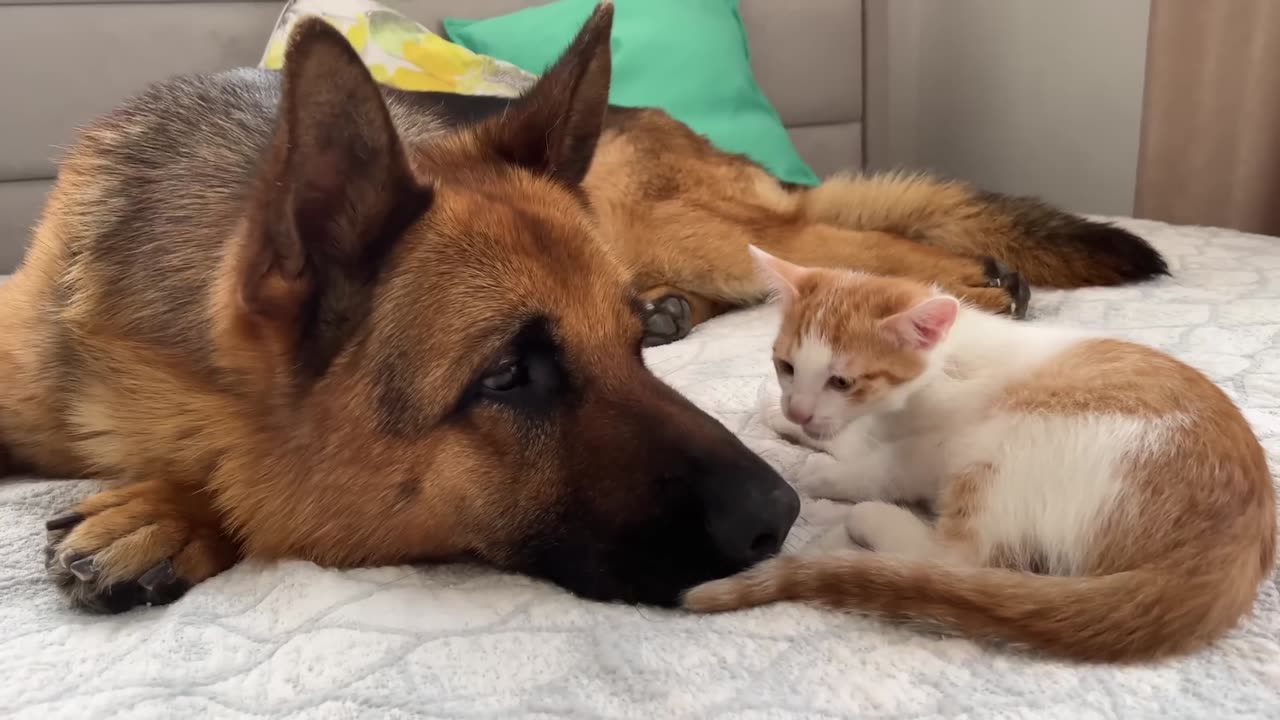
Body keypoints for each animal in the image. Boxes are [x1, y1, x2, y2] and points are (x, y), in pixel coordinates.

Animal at [0, 5, 1167, 609]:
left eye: (618, 352)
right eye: (507, 375)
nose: (783, 516)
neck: (149, 370)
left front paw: (170, 505)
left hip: (692, 224)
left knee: (844, 247)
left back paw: (975, 284)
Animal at [691, 248, 1280, 661]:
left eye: (842, 380)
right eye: (786, 366)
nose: (798, 409)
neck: (940, 367)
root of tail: (1227, 554)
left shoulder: (940, 443)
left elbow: (884, 466)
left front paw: (822, 471)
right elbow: (853, 436)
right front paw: (789, 422)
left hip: (1014, 439)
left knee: (957, 558)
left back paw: (868, 524)